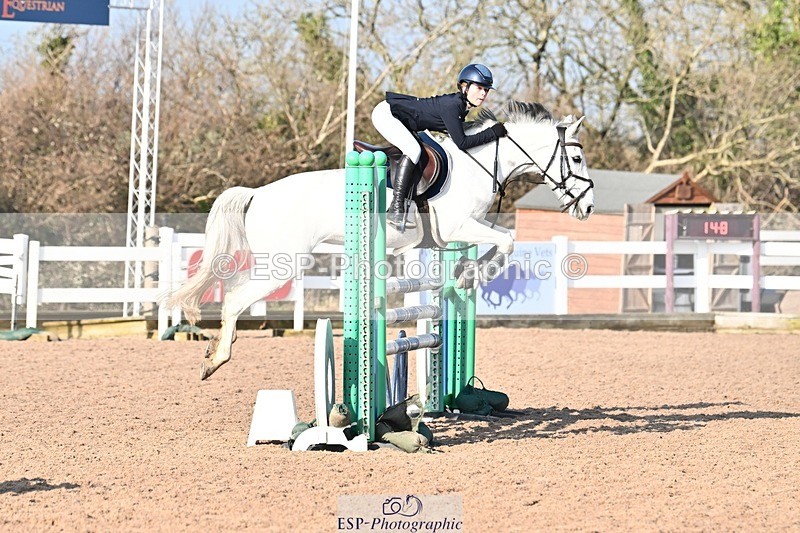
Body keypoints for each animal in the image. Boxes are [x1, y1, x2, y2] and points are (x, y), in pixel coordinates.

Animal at [165, 101, 595, 380]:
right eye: (576, 160)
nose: (588, 207)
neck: (479, 163)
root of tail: (256, 193)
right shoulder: (458, 227)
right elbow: (507, 240)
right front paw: (471, 275)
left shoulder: (454, 234)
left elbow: (500, 241)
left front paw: (464, 272)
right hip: (282, 264)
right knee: (235, 297)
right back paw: (214, 359)